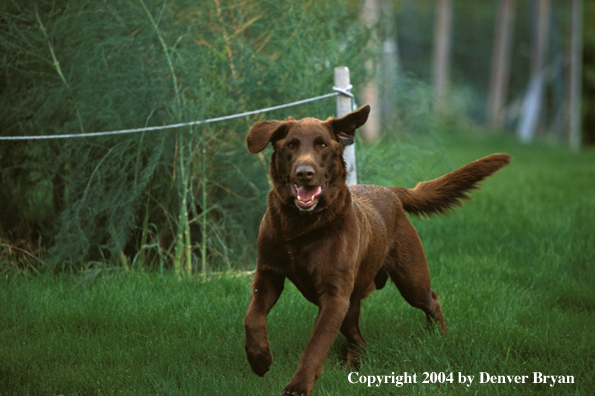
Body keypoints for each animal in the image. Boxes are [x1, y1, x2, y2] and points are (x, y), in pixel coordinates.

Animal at [244, 103, 510, 394]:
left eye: (323, 145)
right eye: (291, 145)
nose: (305, 173)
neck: (300, 228)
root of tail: (391, 191)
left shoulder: (334, 296)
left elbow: (315, 346)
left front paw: (298, 385)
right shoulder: (269, 274)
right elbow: (252, 317)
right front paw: (259, 358)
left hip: (411, 281)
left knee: (432, 300)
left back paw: (439, 336)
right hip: (352, 305)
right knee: (359, 340)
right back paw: (351, 368)